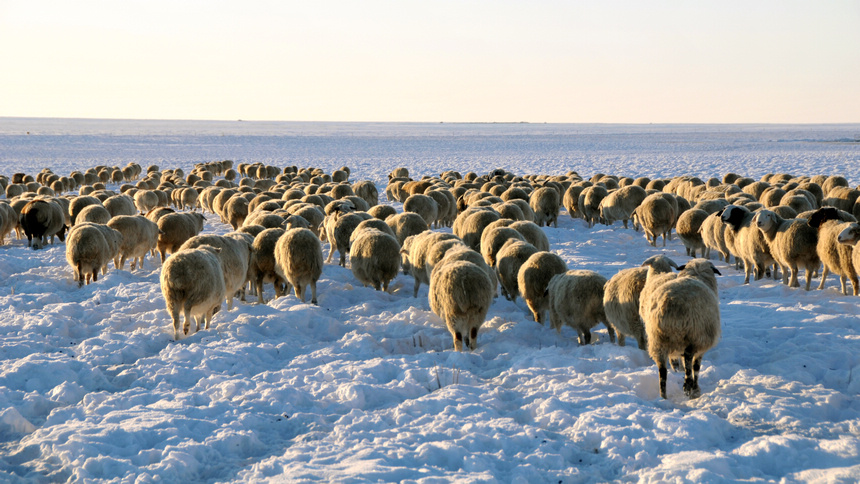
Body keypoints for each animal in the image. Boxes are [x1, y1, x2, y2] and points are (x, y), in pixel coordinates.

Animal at [640, 260, 724, 398]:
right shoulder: (702, 342)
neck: (696, 274)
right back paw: (688, 386)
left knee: (662, 373)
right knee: (689, 361)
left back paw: (663, 397)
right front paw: (695, 389)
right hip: (692, 334)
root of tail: (667, 304)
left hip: (657, 340)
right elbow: (696, 367)